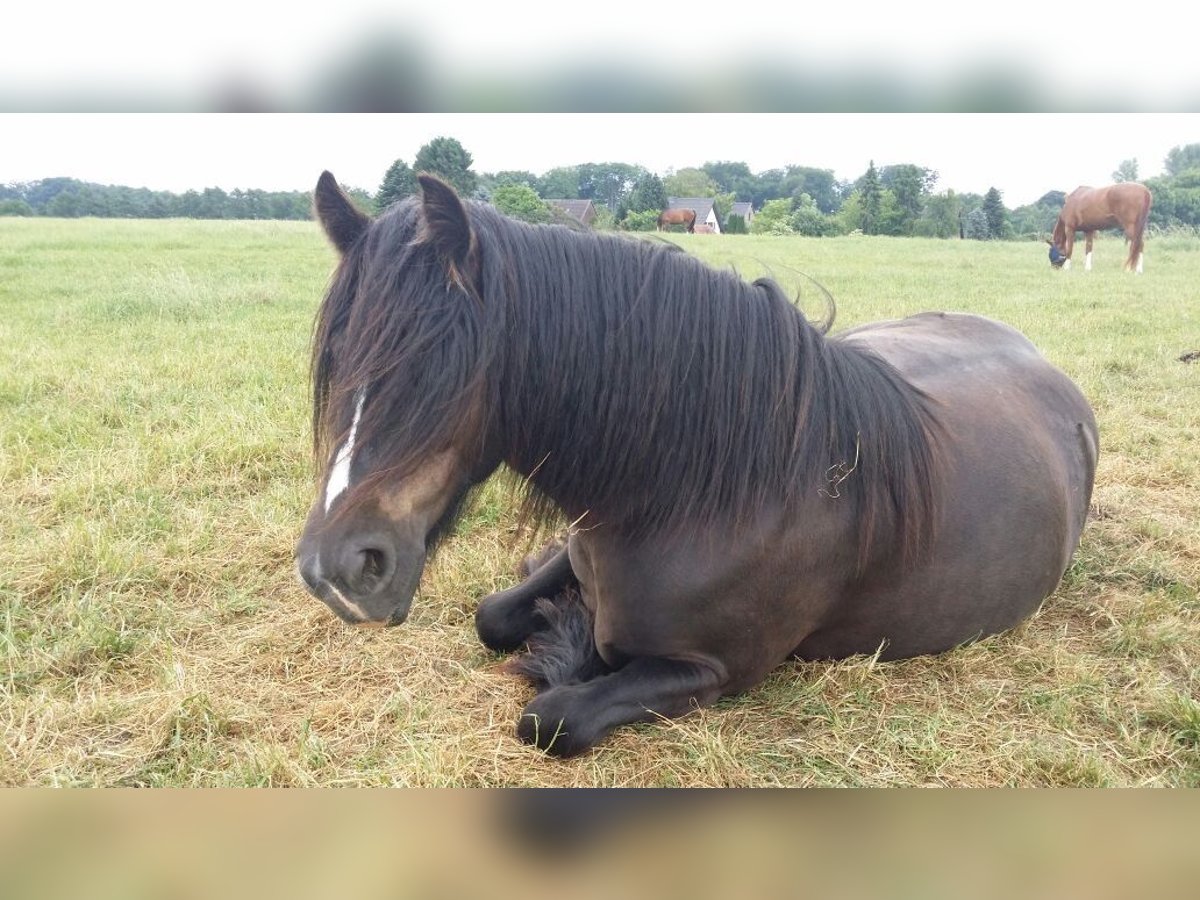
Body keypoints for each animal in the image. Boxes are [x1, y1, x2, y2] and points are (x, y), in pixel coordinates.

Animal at [292, 170, 1099, 763]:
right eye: (336, 360)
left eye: (439, 365)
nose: (337, 570)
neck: (703, 492)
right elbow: (494, 616)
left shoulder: (710, 671)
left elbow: (551, 719)